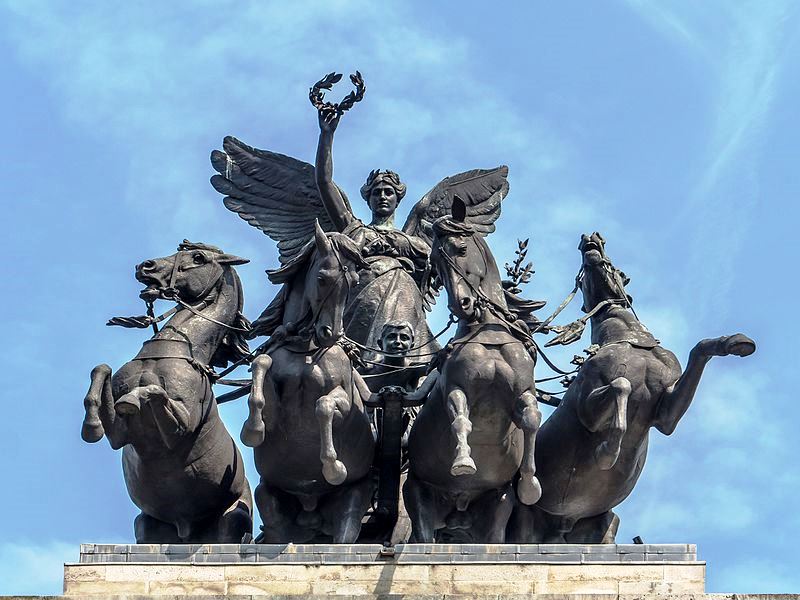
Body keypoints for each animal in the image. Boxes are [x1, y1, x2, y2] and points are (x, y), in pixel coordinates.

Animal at [78, 240, 253, 544]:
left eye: (198, 257)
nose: (145, 266)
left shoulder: (181, 427)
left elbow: (152, 392)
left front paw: (132, 399)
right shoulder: (120, 434)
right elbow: (101, 371)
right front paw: (92, 426)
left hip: (236, 518)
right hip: (146, 526)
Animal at [239, 221, 376, 544]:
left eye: (354, 282)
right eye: (323, 279)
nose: (331, 333)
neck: (306, 350)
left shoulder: (344, 401)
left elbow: (324, 405)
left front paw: (333, 466)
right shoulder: (276, 405)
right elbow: (261, 366)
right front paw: (253, 429)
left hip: (353, 500)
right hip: (270, 498)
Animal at [404, 202, 540, 544]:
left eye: (461, 248)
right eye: (436, 265)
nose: (462, 304)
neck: (487, 333)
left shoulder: (523, 393)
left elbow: (531, 419)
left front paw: (530, 484)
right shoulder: (457, 388)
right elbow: (461, 419)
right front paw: (464, 461)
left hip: (499, 503)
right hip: (417, 496)